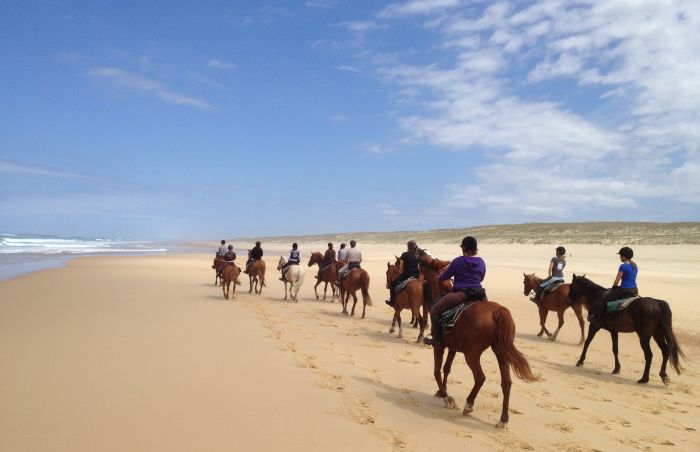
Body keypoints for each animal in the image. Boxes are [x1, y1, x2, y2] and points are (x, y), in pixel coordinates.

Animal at [430, 300, 540, 428]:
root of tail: (498, 310)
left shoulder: (439, 346)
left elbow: (437, 371)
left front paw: (445, 396)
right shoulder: (452, 348)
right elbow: (446, 368)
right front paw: (442, 391)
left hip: (471, 355)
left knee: (480, 377)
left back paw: (468, 405)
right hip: (501, 352)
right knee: (506, 383)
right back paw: (503, 420)